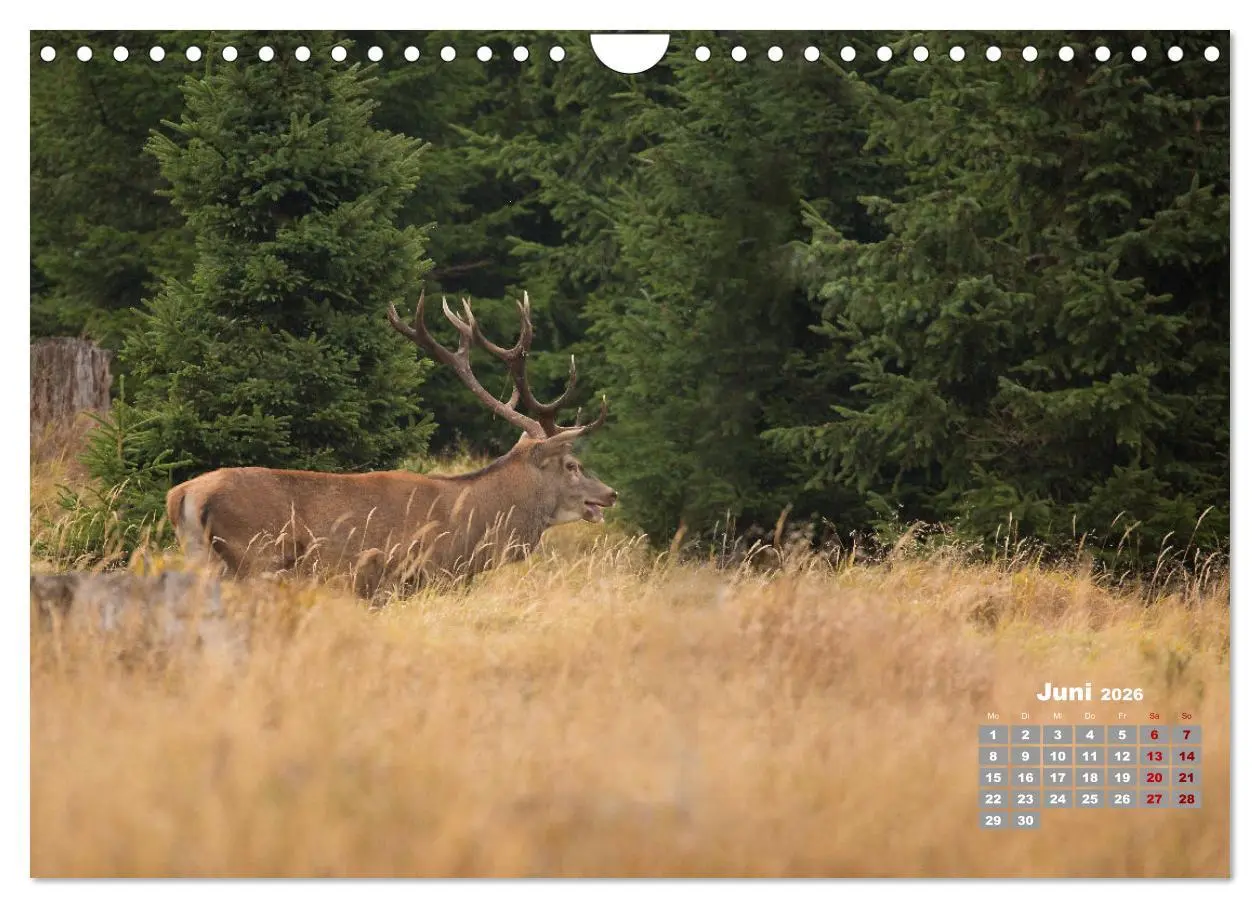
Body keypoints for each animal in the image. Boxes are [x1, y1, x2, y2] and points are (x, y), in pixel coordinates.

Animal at [165, 291, 618, 598]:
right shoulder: (417, 576)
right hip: (253, 558)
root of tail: (183, 495)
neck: (472, 526)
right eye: (572, 465)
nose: (611, 493)